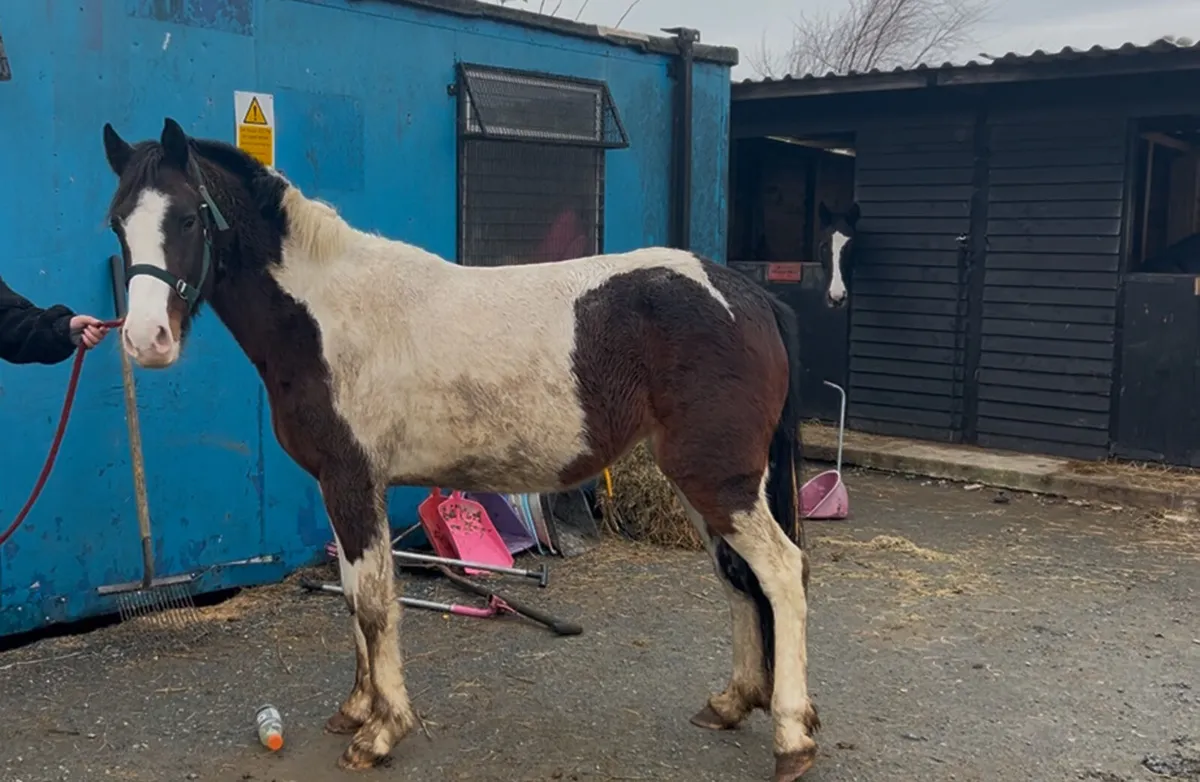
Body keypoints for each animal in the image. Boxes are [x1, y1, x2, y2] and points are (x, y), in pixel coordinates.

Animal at [100, 118, 819, 782]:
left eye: (188, 217)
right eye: (116, 224)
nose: (145, 339)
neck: (326, 316)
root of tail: (752, 298)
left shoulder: (353, 480)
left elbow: (373, 602)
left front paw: (381, 731)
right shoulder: (338, 486)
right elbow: (352, 594)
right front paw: (356, 709)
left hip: (717, 480)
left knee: (782, 572)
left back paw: (792, 738)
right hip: (709, 484)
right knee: (738, 577)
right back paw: (733, 702)